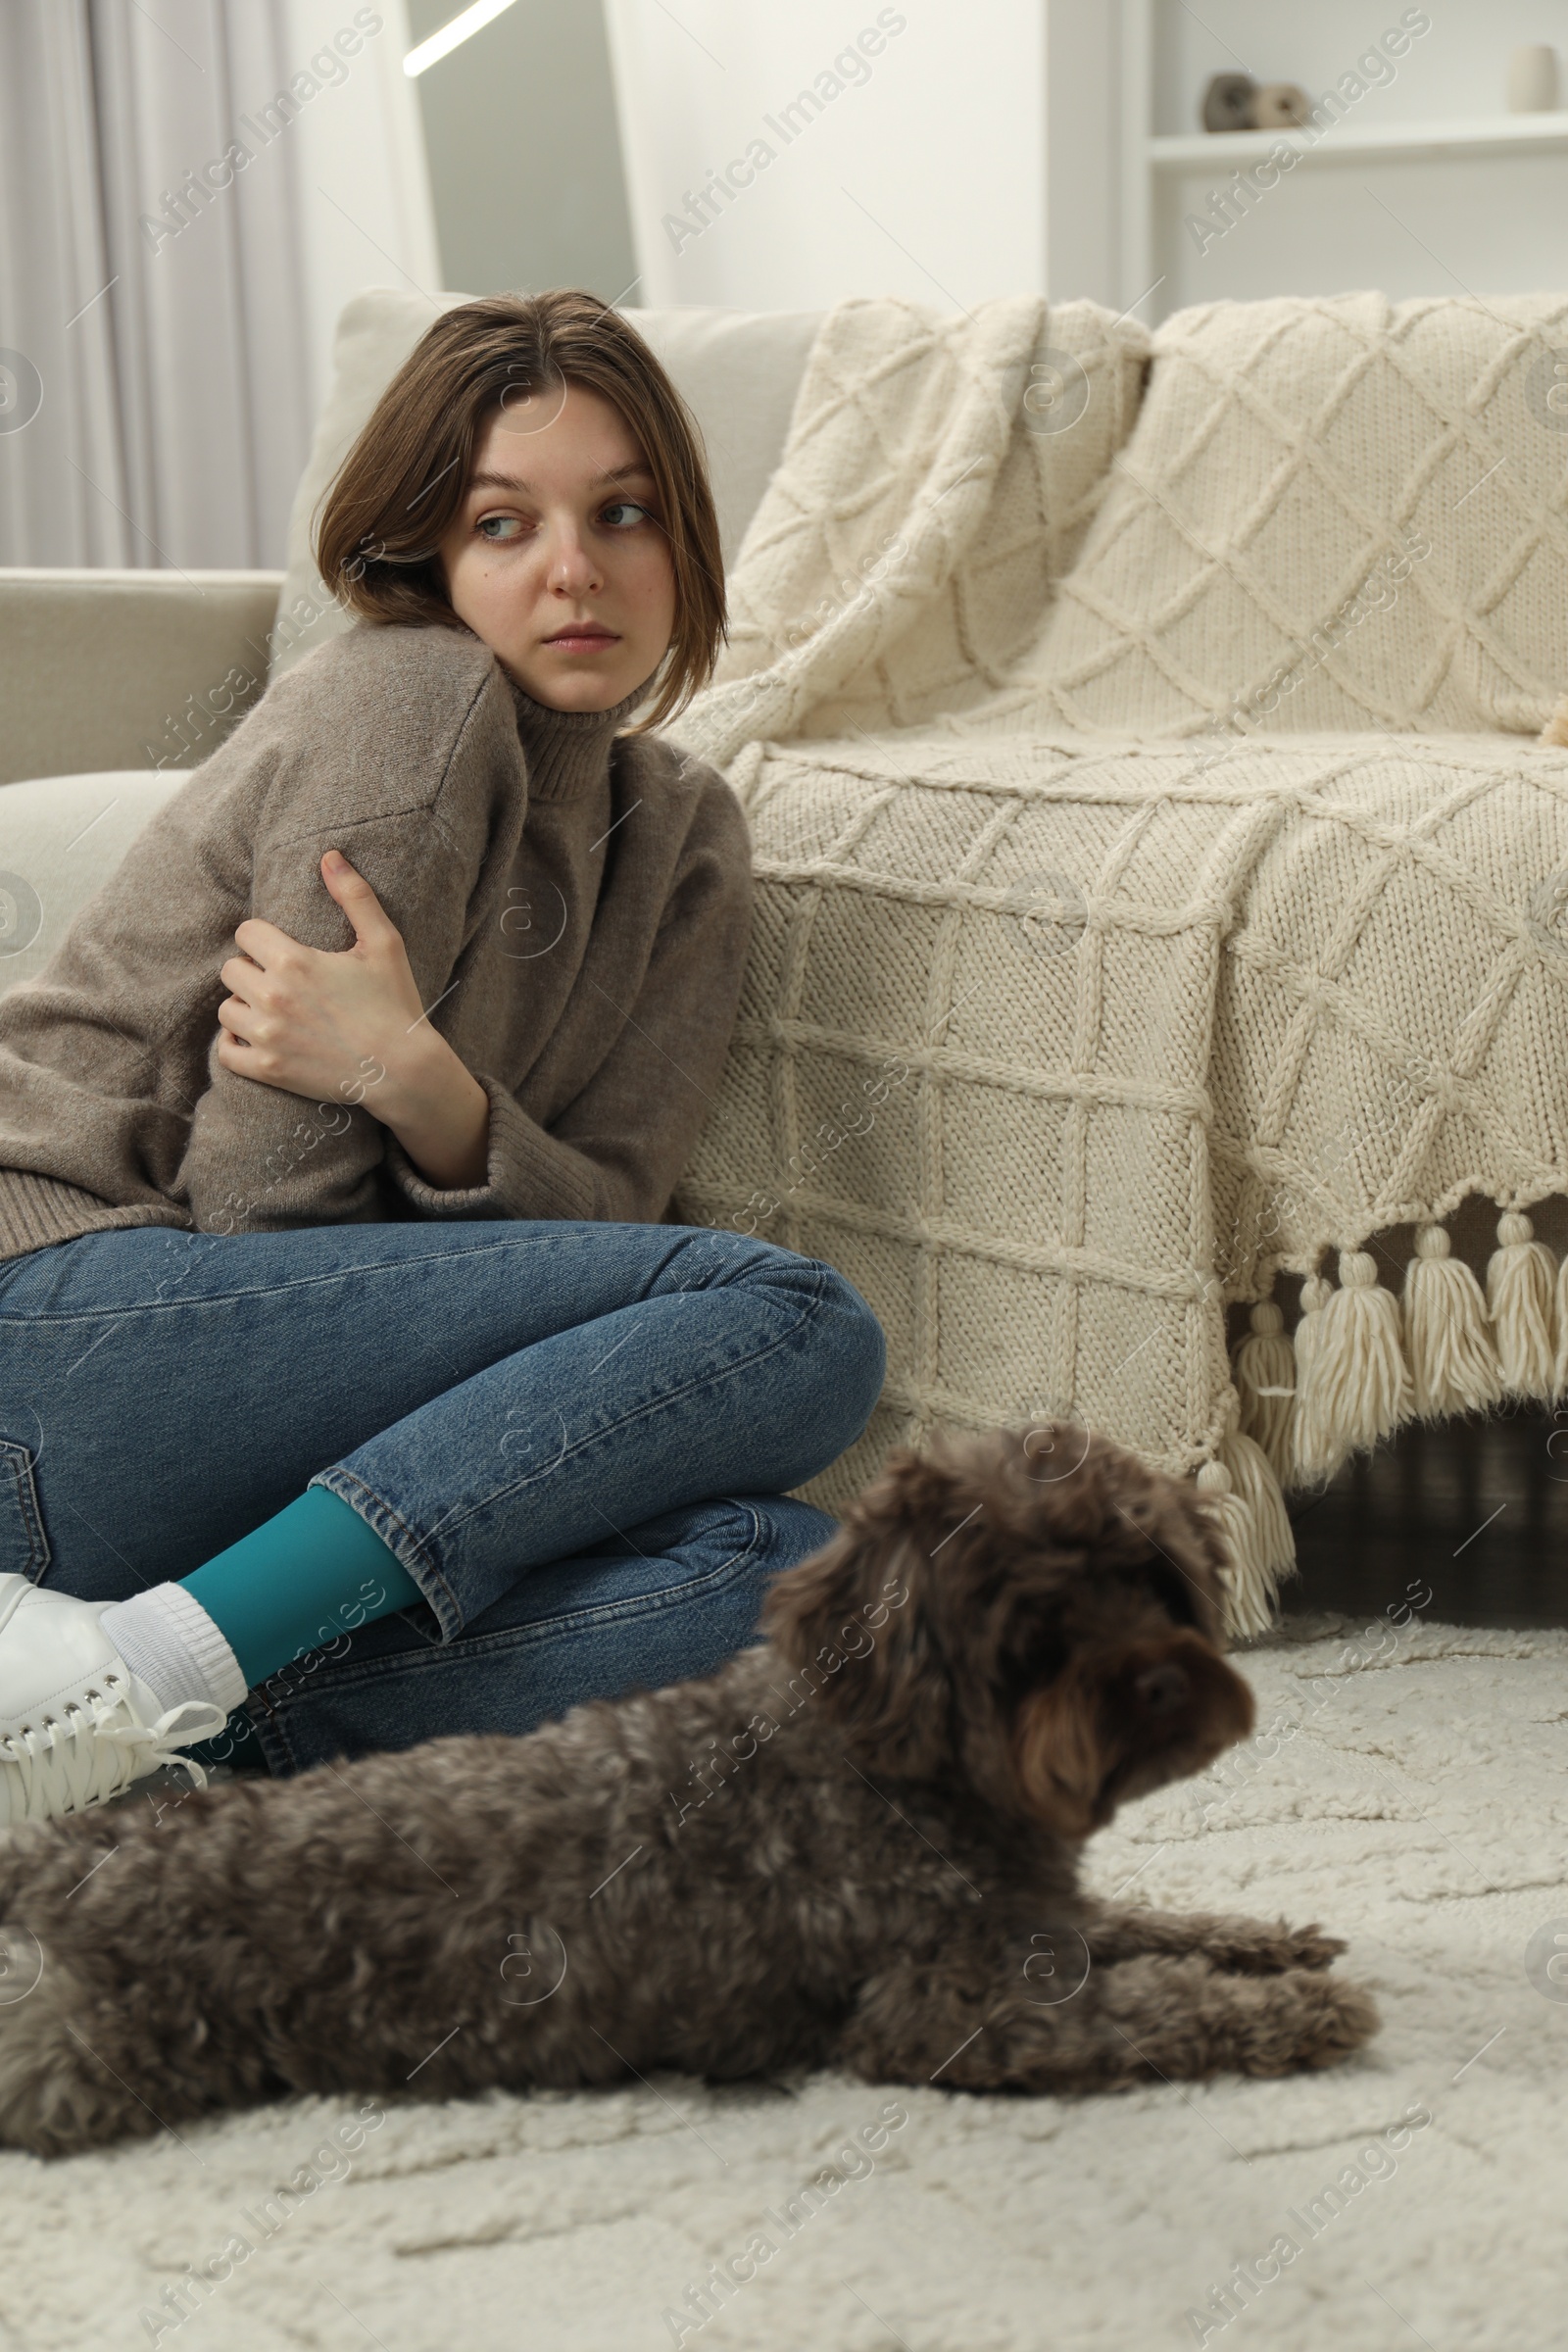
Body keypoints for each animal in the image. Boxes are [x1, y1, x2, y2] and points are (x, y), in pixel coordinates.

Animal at [0, 1411, 1382, 2154]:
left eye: (1152, 1579)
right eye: (1034, 1628)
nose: (1160, 1685)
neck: (902, 1762)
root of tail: (71, 1859)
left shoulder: (1045, 1924)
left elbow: (1151, 1924)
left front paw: (1270, 1941)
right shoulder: (955, 2010)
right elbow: (1154, 2007)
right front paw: (1296, 2010)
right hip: (92, 2060)